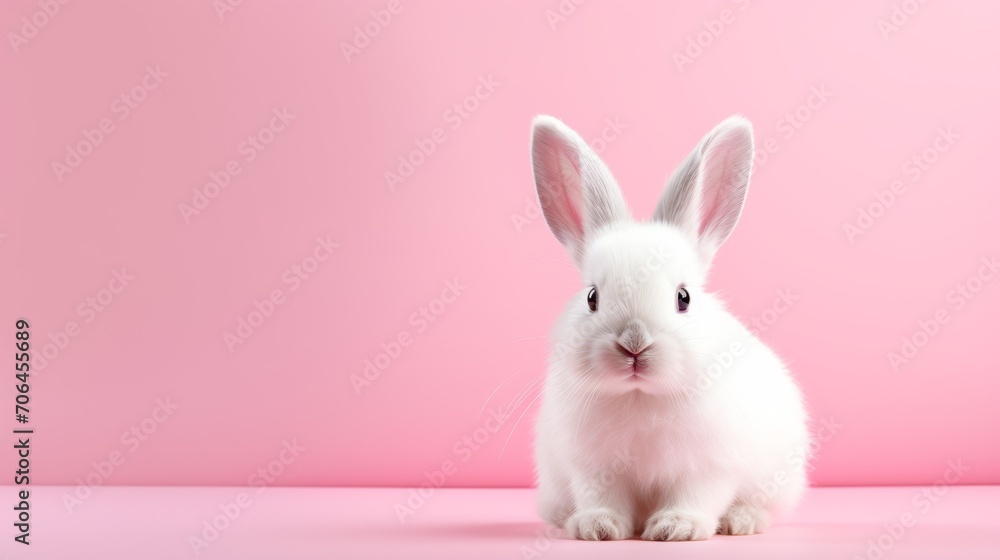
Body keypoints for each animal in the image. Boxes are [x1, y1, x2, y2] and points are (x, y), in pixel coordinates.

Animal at [529, 114, 810, 541]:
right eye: (593, 297)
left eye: (684, 297)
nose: (634, 343)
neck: (640, 396)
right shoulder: (592, 467)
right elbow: (602, 497)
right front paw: (598, 528)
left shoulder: (709, 467)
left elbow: (695, 497)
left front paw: (676, 528)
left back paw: (742, 521)